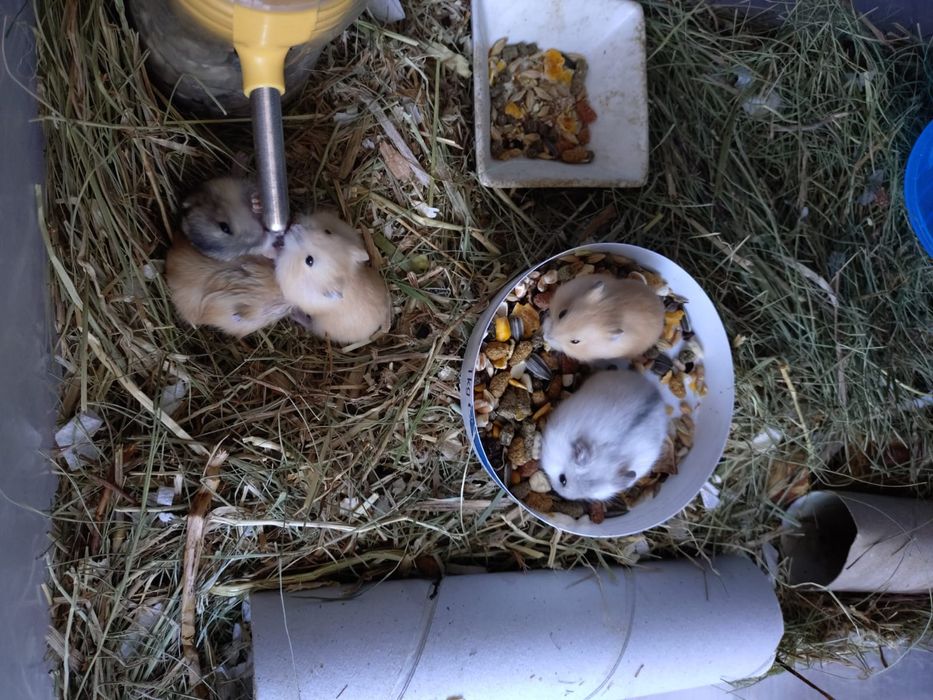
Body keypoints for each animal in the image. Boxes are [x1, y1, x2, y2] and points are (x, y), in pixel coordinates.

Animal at [275, 211, 392, 345]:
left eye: (309, 260)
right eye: (327, 231)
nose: (293, 228)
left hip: (319, 326)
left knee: (310, 326)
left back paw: (295, 315)